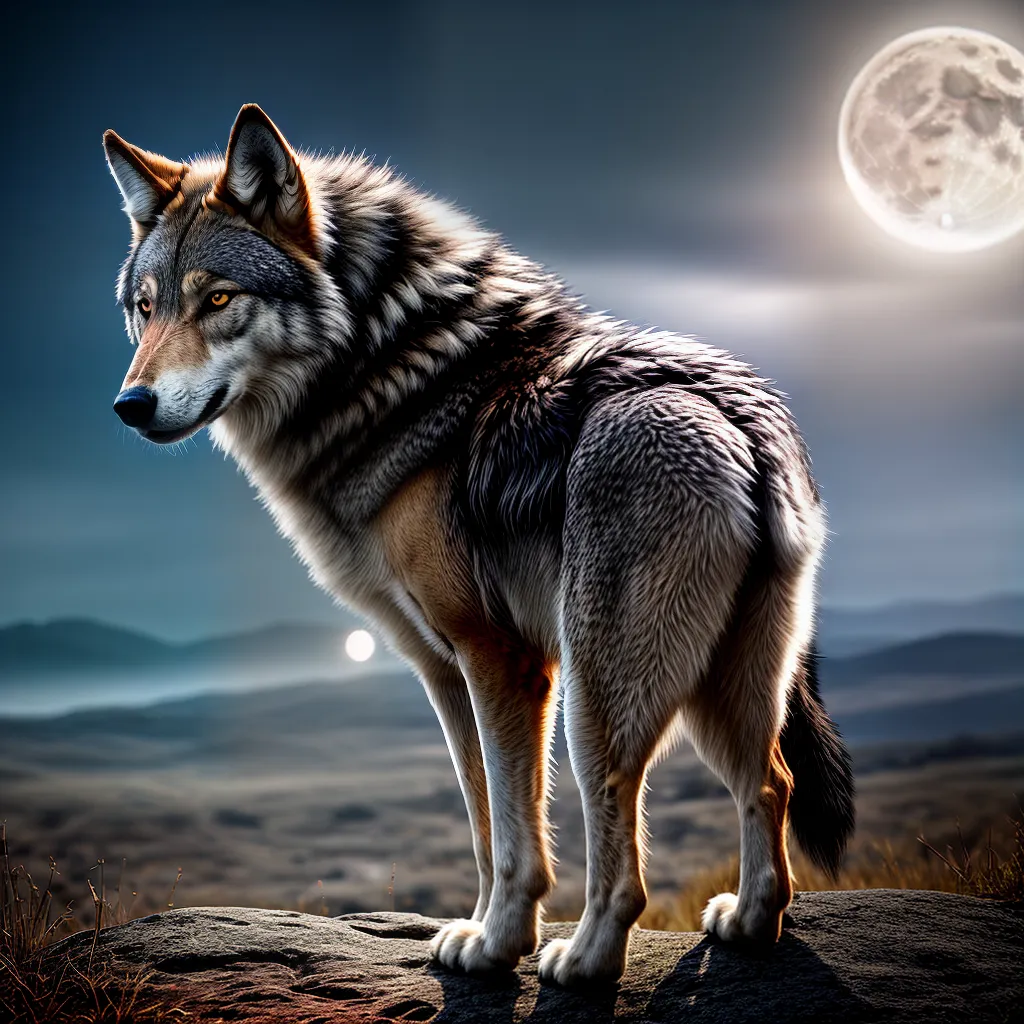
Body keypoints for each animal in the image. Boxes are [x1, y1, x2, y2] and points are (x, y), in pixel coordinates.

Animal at [103, 104, 854, 986]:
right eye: (144, 307)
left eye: (218, 298)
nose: (130, 405)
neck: (379, 369)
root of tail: (737, 418)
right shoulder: (441, 666)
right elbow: (484, 818)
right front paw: (490, 933)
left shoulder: (498, 656)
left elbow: (514, 834)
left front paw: (499, 947)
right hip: (724, 689)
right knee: (772, 783)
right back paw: (749, 924)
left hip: (598, 699)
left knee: (627, 852)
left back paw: (585, 960)